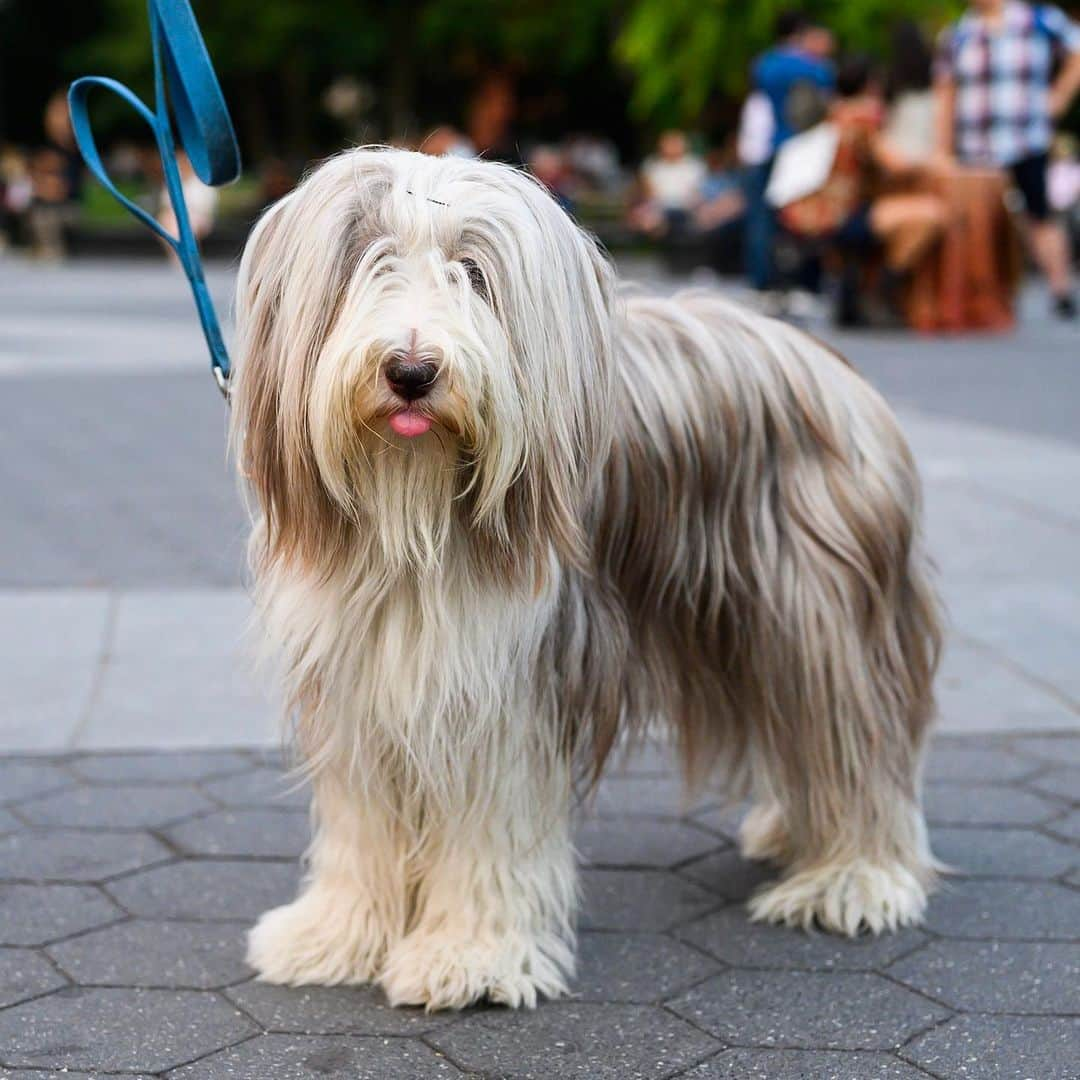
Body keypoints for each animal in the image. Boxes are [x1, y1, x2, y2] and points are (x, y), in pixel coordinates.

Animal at [232, 145, 941, 1010]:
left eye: (474, 273)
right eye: (372, 258)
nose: (412, 370)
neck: (417, 518)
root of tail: (834, 371)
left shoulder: (508, 687)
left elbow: (491, 821)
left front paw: (472, 955)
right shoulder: (360, 679)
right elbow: (362, 823)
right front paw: (337, 934)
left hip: (819, 618)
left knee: (852, 737)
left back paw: (854, 876)